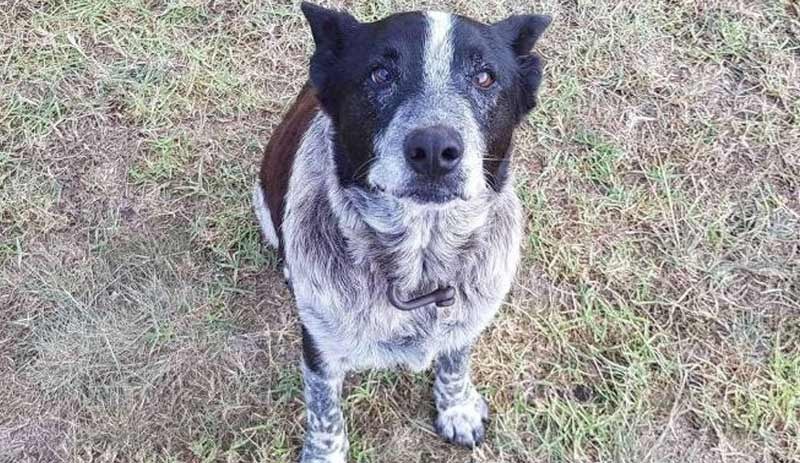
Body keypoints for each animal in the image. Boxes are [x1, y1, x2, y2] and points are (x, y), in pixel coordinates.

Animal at [255, 2, 552, 460]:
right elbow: (324, 411)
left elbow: (454, 362)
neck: (419, 265)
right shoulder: (320, 347)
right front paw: (325, 452)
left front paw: (457, 408)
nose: (433, 149)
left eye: (485, 77)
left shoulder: (466, 320)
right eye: (380, 74)